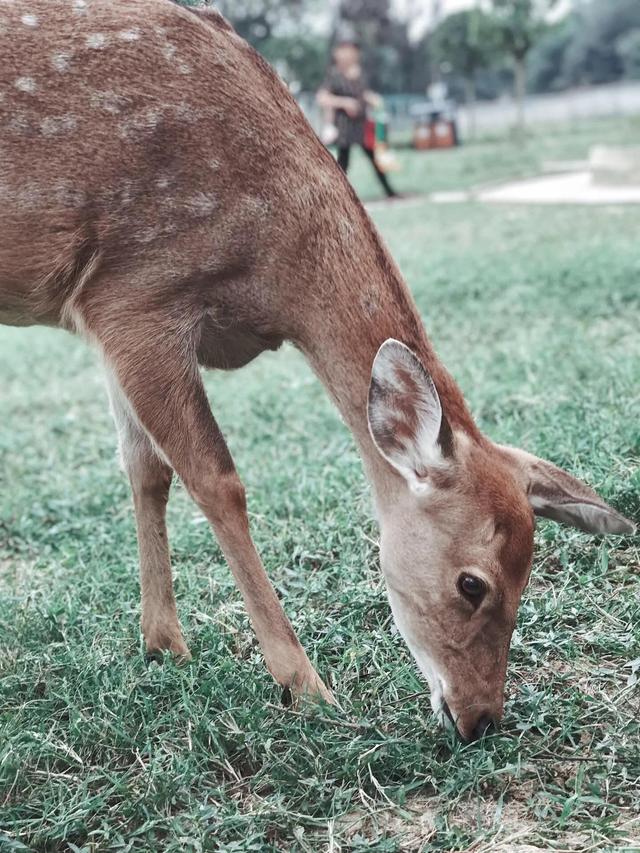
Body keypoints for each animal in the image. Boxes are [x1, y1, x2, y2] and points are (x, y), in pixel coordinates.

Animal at [1, 0, 636, 744]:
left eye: (530, 573)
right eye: (472, 583)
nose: (480, 718)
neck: (267, 274)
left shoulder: (104, 321)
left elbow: (145, 468)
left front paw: (162, 644)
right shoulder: (135, 294)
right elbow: (216, 480)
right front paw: (304, 685)